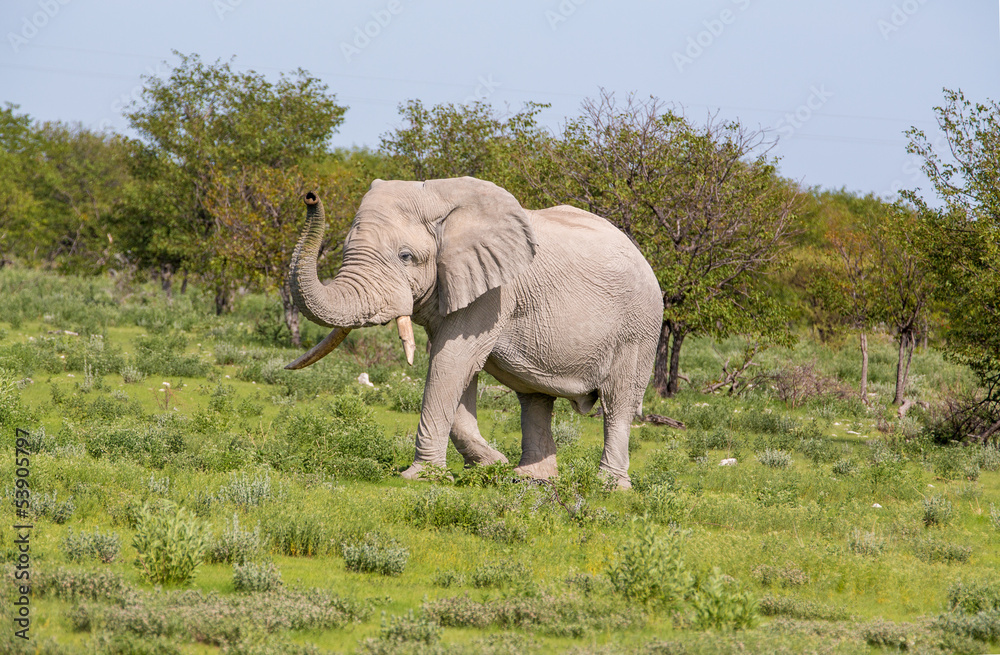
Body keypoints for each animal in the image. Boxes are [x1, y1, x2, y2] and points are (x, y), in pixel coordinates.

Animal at [286, 177, 662, 488]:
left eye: (406, 256)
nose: (310, 196)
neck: (439, 197)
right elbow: (455, 370)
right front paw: (490, 465)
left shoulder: (495, 292)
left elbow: (451, 363)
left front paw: (422, 477)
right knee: (535, 397)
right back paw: (531, 478)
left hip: (639, 327)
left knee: (618, 402)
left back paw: (609, 486)